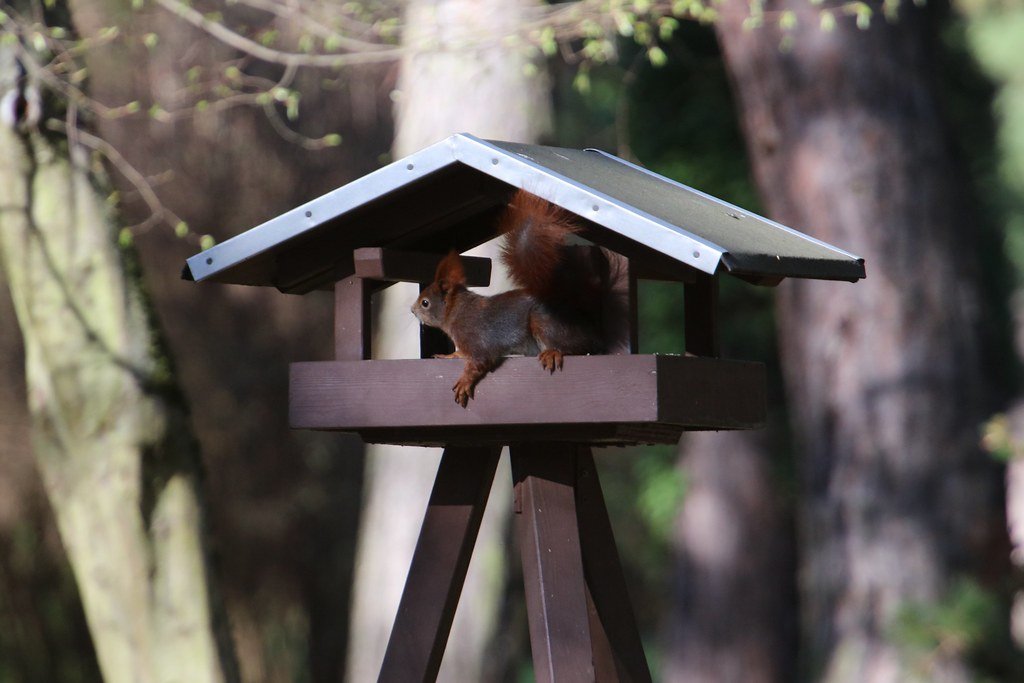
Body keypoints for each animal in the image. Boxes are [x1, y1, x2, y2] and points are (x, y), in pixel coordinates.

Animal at [411, 189, 615, 407]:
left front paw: (464, 381)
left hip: (546, 322)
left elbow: (479, 361)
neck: (456, 311)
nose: (412, 310)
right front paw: (448, 355)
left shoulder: (475, 337)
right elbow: (461, 354)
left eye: (425, 303)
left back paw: (554, 352)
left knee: (576, 348)